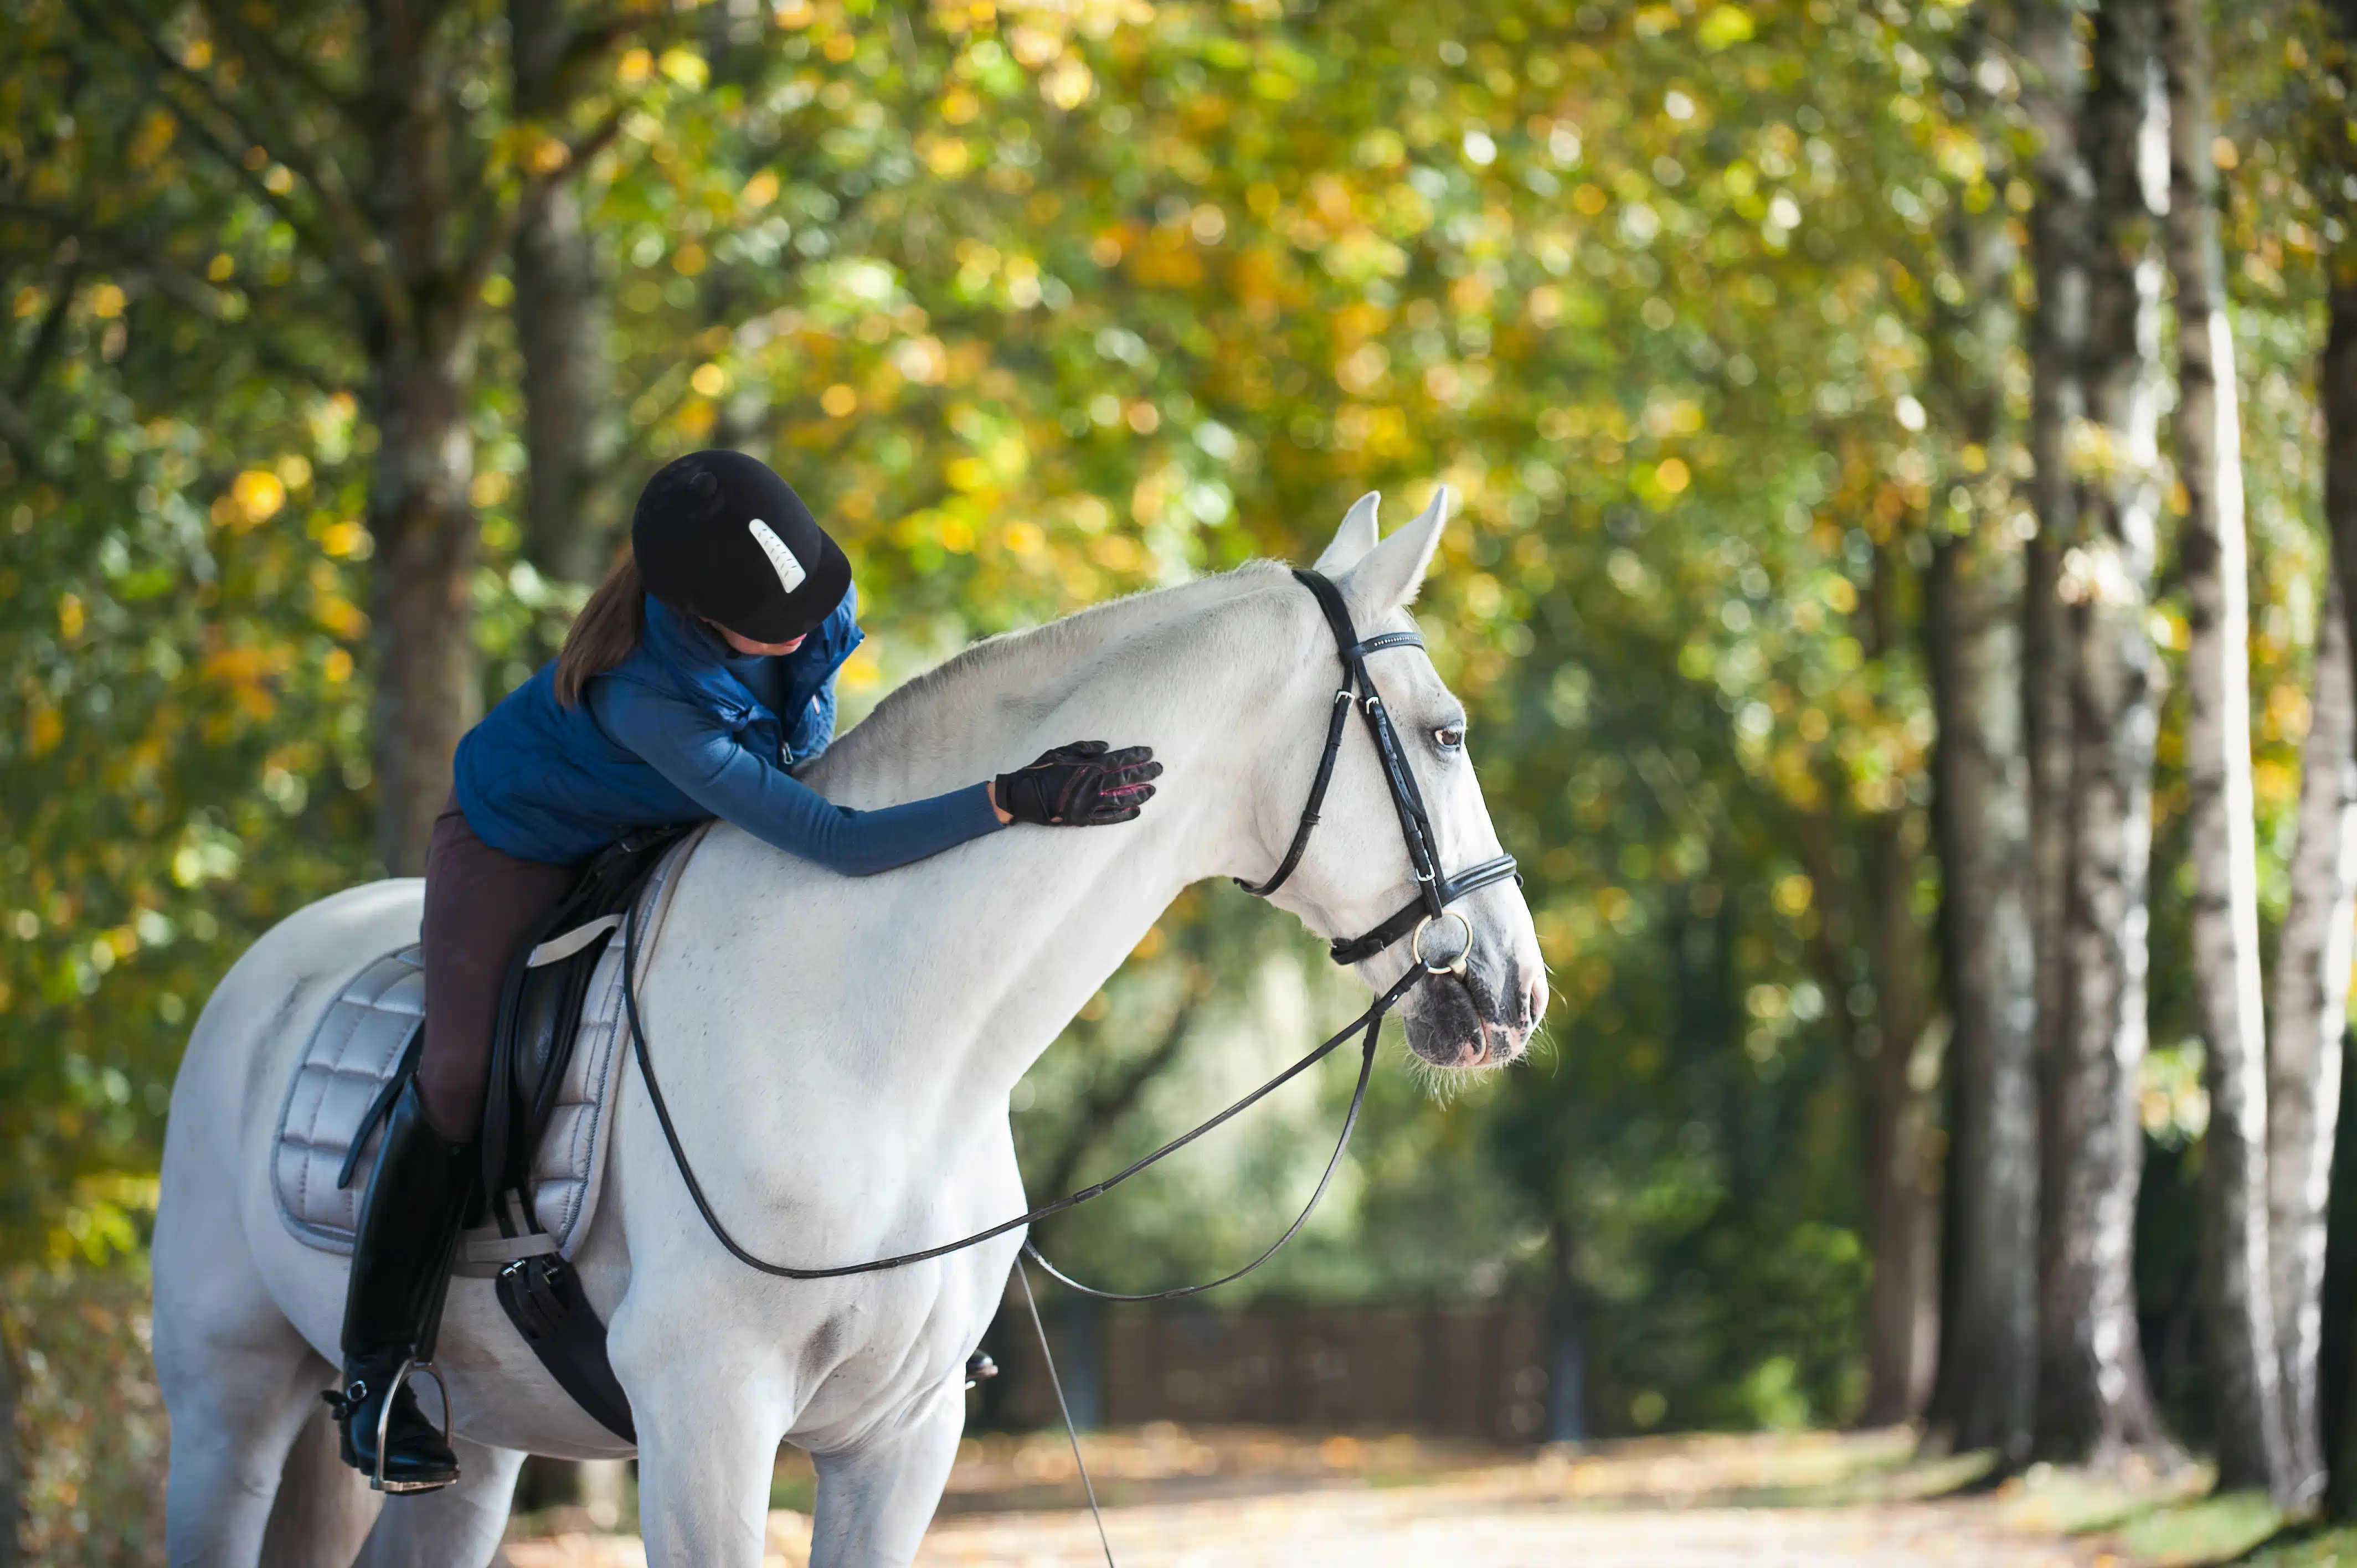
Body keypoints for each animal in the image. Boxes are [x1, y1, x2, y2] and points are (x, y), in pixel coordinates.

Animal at [152, 483, 1546, 1556]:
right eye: (1447, 734)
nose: (1514, 993)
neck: (888, 1056)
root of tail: (275, 957)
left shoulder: (902, 1438)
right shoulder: (709, 1422)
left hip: (481, 1444)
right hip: (230, 1401)